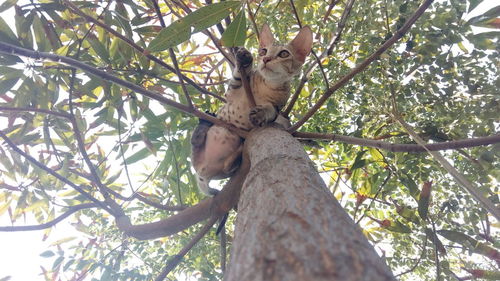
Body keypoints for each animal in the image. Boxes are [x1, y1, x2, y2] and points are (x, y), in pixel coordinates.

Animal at [189, 23, 310, 195]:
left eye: (284, 54)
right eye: (263, 51)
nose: (265, 59)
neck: (267, 85)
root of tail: (202, 174)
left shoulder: (278, 106)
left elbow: (271, 110)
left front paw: (261, 113)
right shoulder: (231, 93)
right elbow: (239, 77)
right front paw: (245, 60)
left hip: (228, 159)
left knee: (228, 167)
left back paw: (236, 156)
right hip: (198, 153)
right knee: (195, 142)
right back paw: (203, 125)